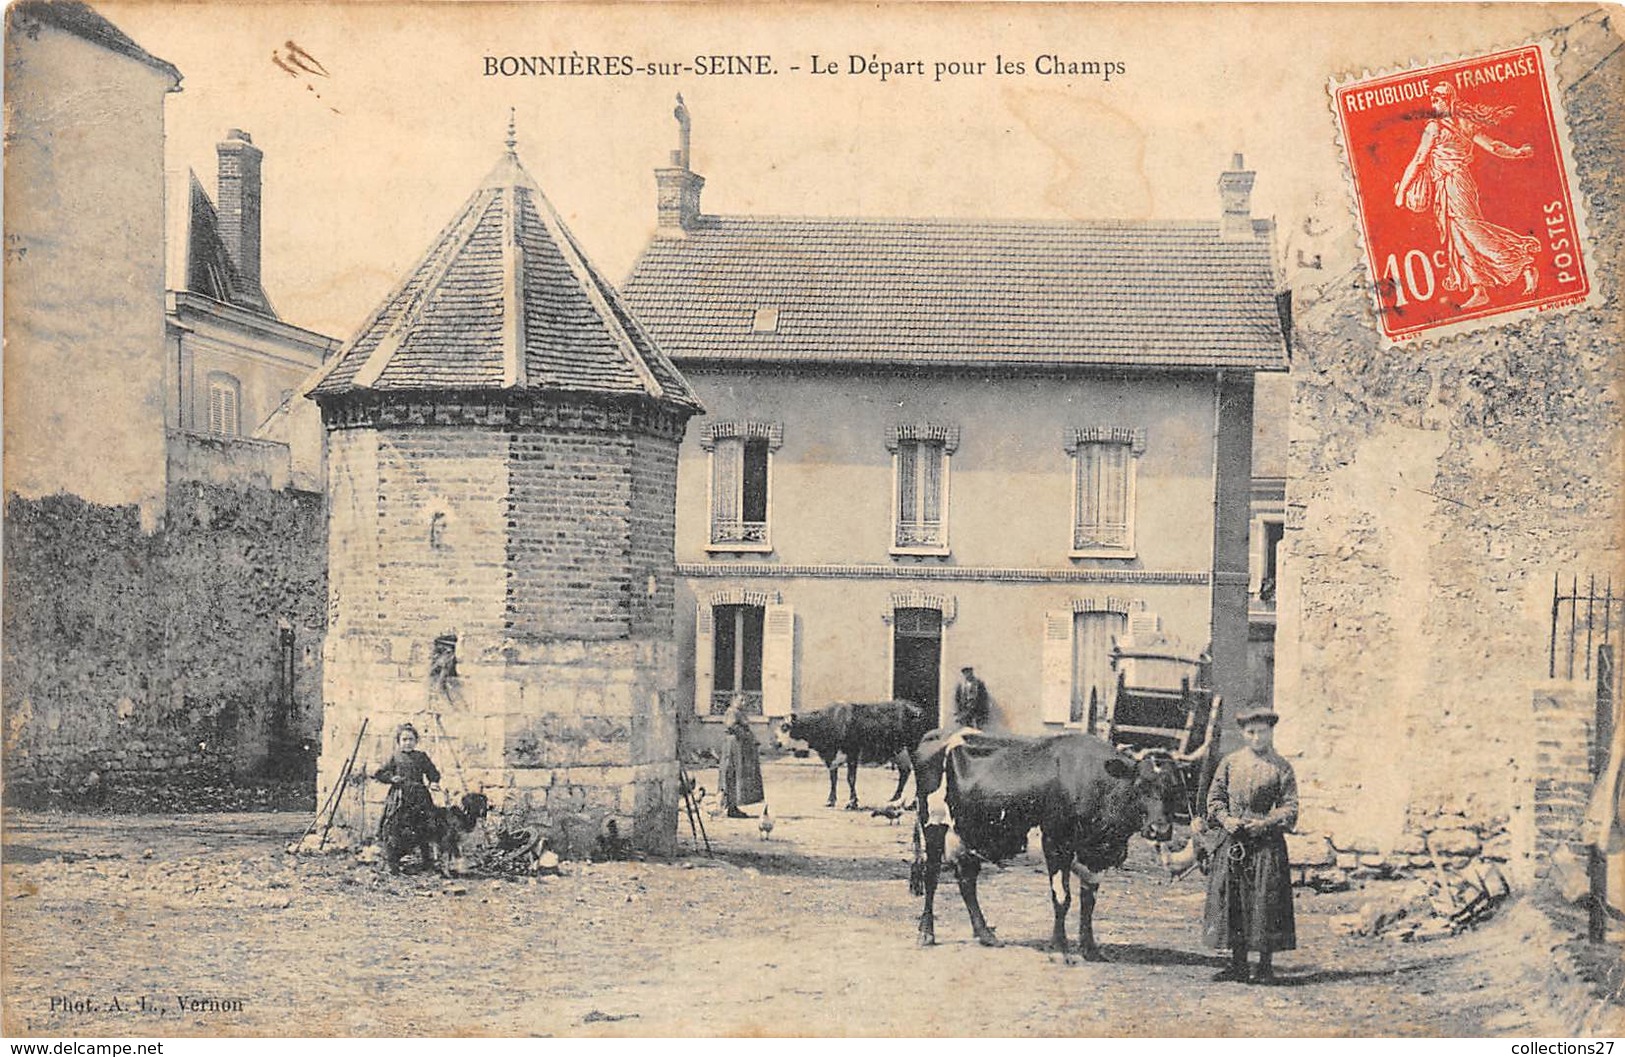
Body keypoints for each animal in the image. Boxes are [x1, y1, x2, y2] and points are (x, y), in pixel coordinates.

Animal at [776, 699, 936, 806]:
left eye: (785, 727)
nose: (777, 744)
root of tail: (918, 708)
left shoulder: (852, 753)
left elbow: (850, 778)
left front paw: (852, 802)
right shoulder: (831, 758)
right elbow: (833, 779)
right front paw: (830, 801)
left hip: (914, 749)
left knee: (919, 773)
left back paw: (914, 803)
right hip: (899, 752)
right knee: (905, 772)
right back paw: (895, 798)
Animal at [910, 728, 1189, 956]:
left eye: (1175, 788)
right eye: (1140, 786)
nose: (1160, 830)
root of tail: (938, 733)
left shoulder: (1095, 855)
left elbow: (1089, 900)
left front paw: (1090, 948)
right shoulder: (1056, 843)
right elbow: (1062, 897)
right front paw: (1060, 946)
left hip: (968, 833)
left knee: (967, 881)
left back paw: (986, 934)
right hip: (933, 823)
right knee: (931, 876)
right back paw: (926, 933)